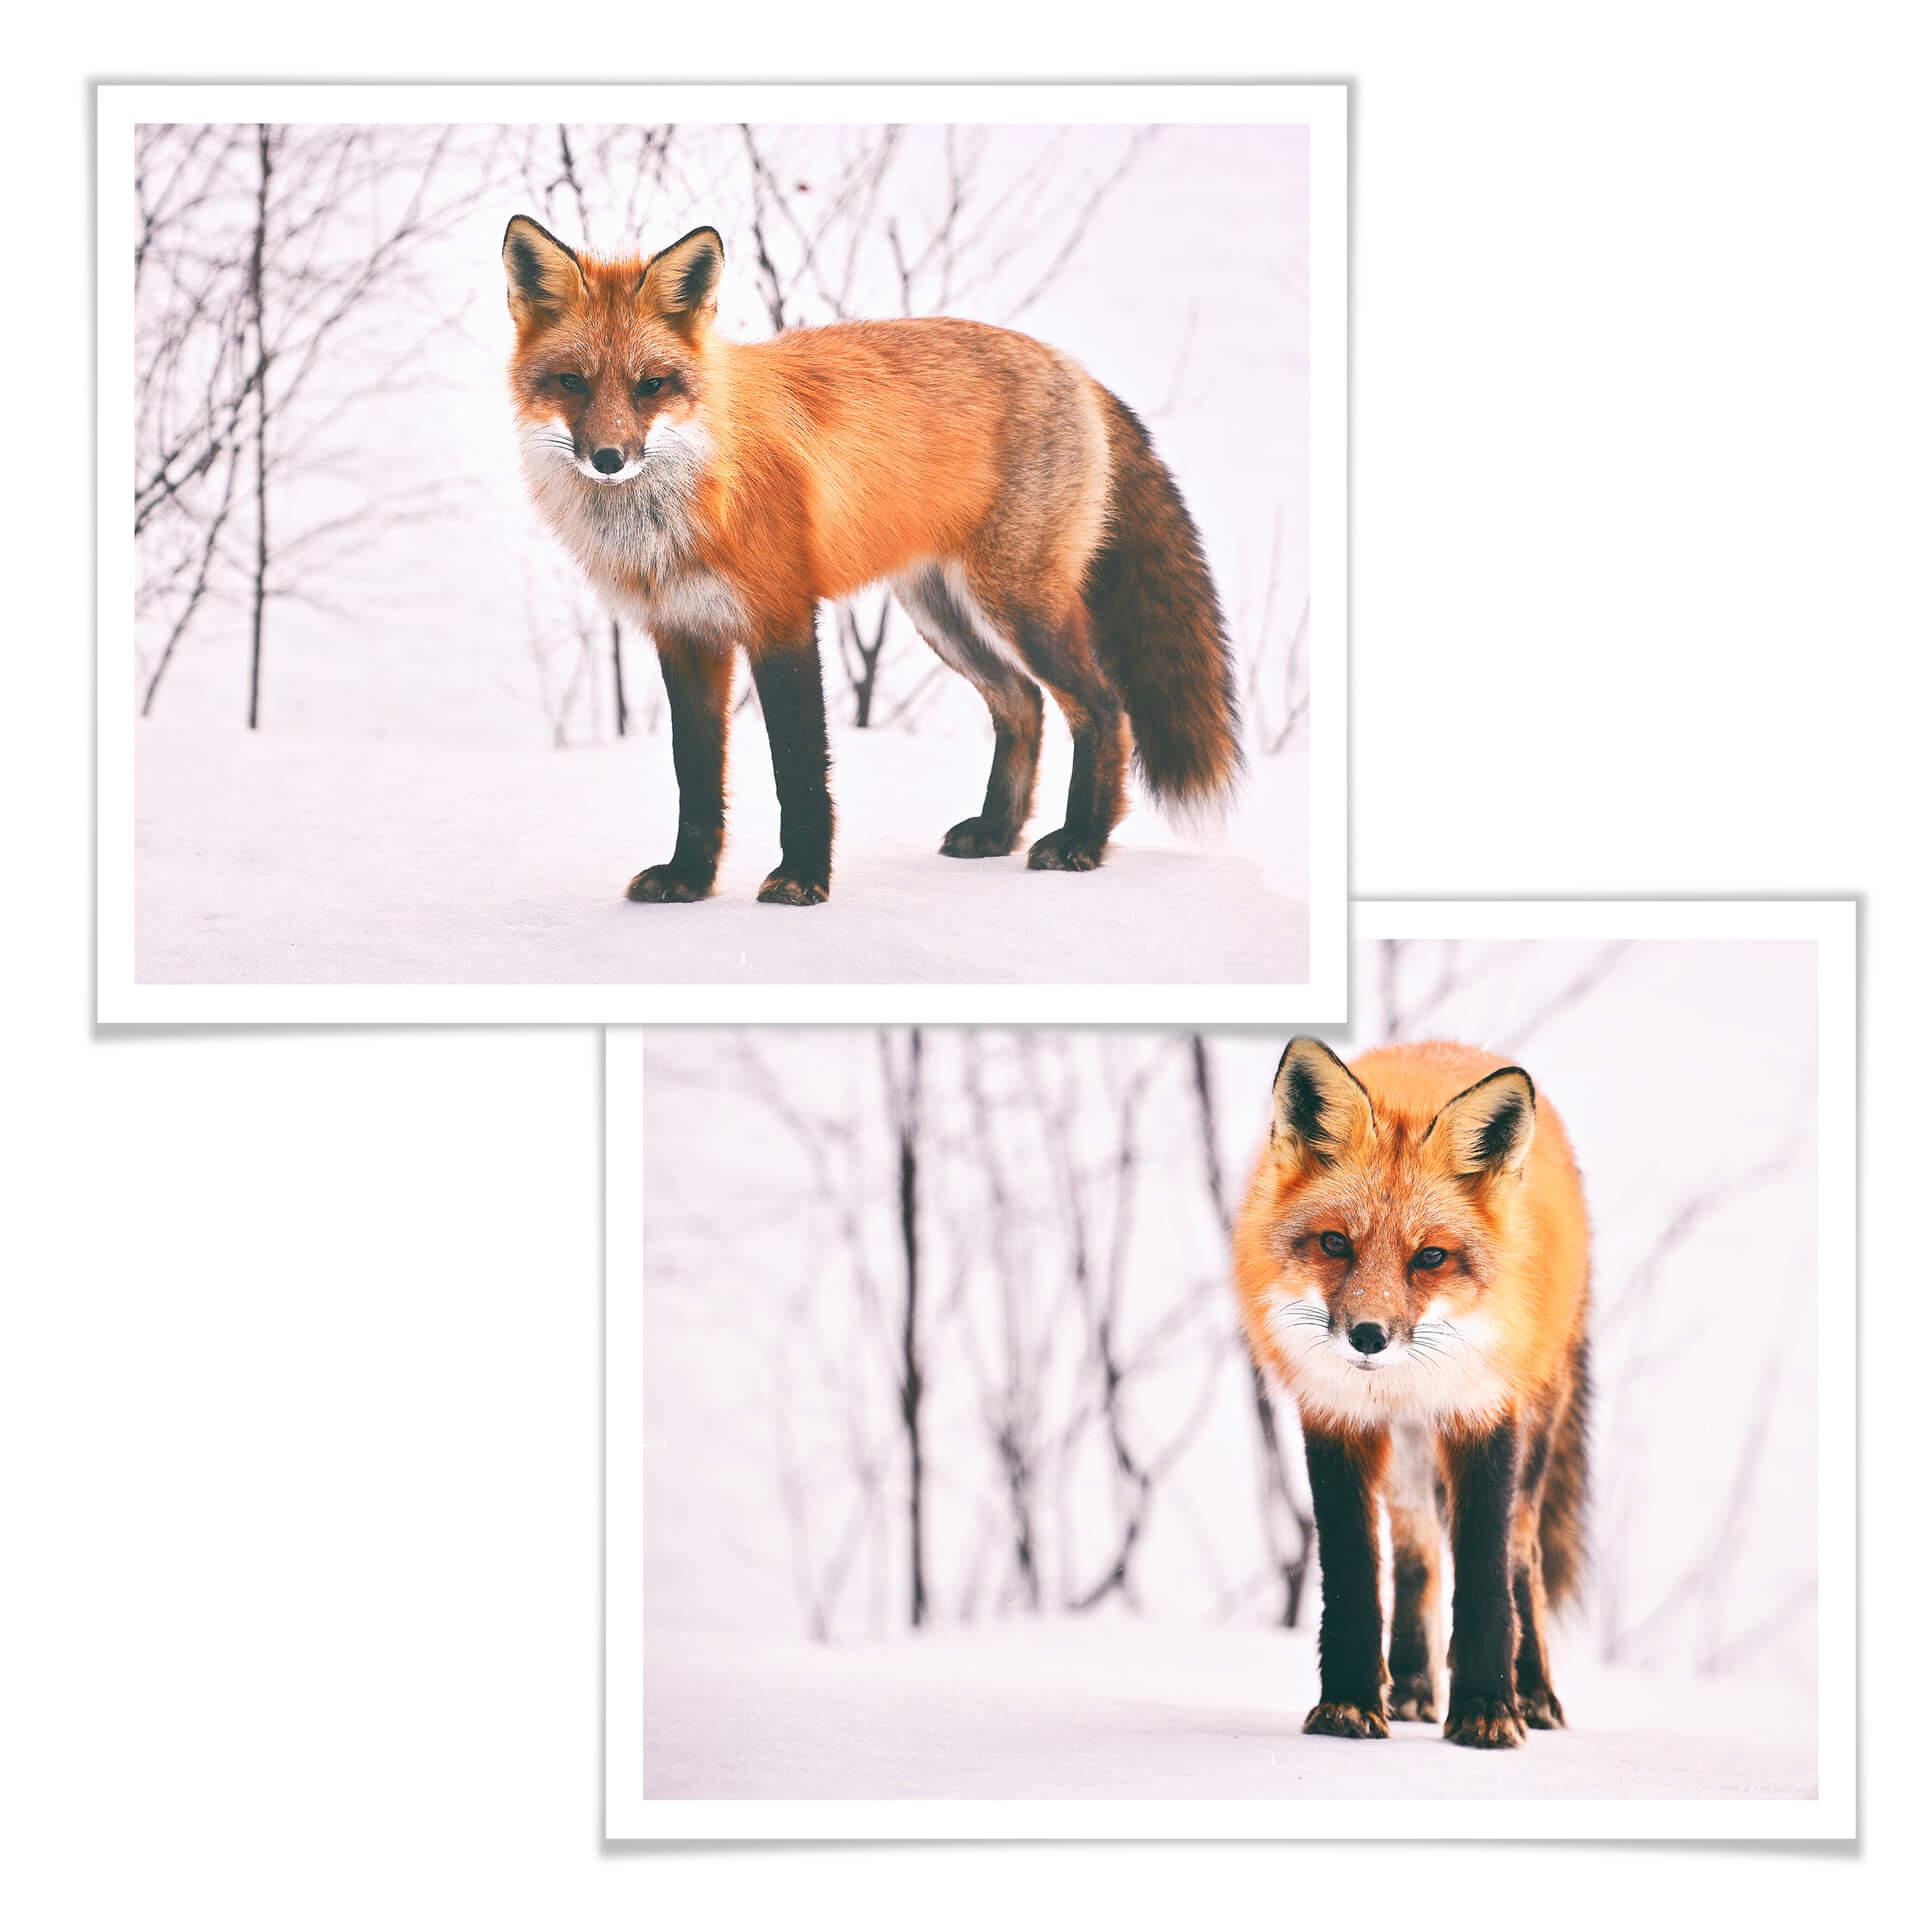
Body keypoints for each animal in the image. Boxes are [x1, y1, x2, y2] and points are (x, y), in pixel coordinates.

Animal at [501, 215, 1241, 906]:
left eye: (651, 386)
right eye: (571, 382)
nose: (608, 459)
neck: (685, 502)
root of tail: (1074, 368)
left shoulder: (782, 620)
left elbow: (799, 769)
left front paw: (802, 879)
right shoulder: (685, 635)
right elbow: (696, 778)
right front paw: (689, 879)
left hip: (1019, 604)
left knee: (1103, 707)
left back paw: (1082, 840)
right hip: (942, 612)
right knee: (1022, 704)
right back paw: (997, 832)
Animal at [1232, 1036, 1592, 1750]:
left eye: (1430, 1257)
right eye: (1335, 1243)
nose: (1368, 1336)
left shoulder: (1483, 1412)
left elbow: (1485, 1575)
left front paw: (1487, 1710)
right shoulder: (1336, 1417)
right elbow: (1353, 1574)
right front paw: (1348, 1704)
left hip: (1535, 1423)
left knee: (1523, 1556)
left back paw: (1534, 1694)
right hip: (1405, 1457)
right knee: (1416, 1554)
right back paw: (1412, 1688)